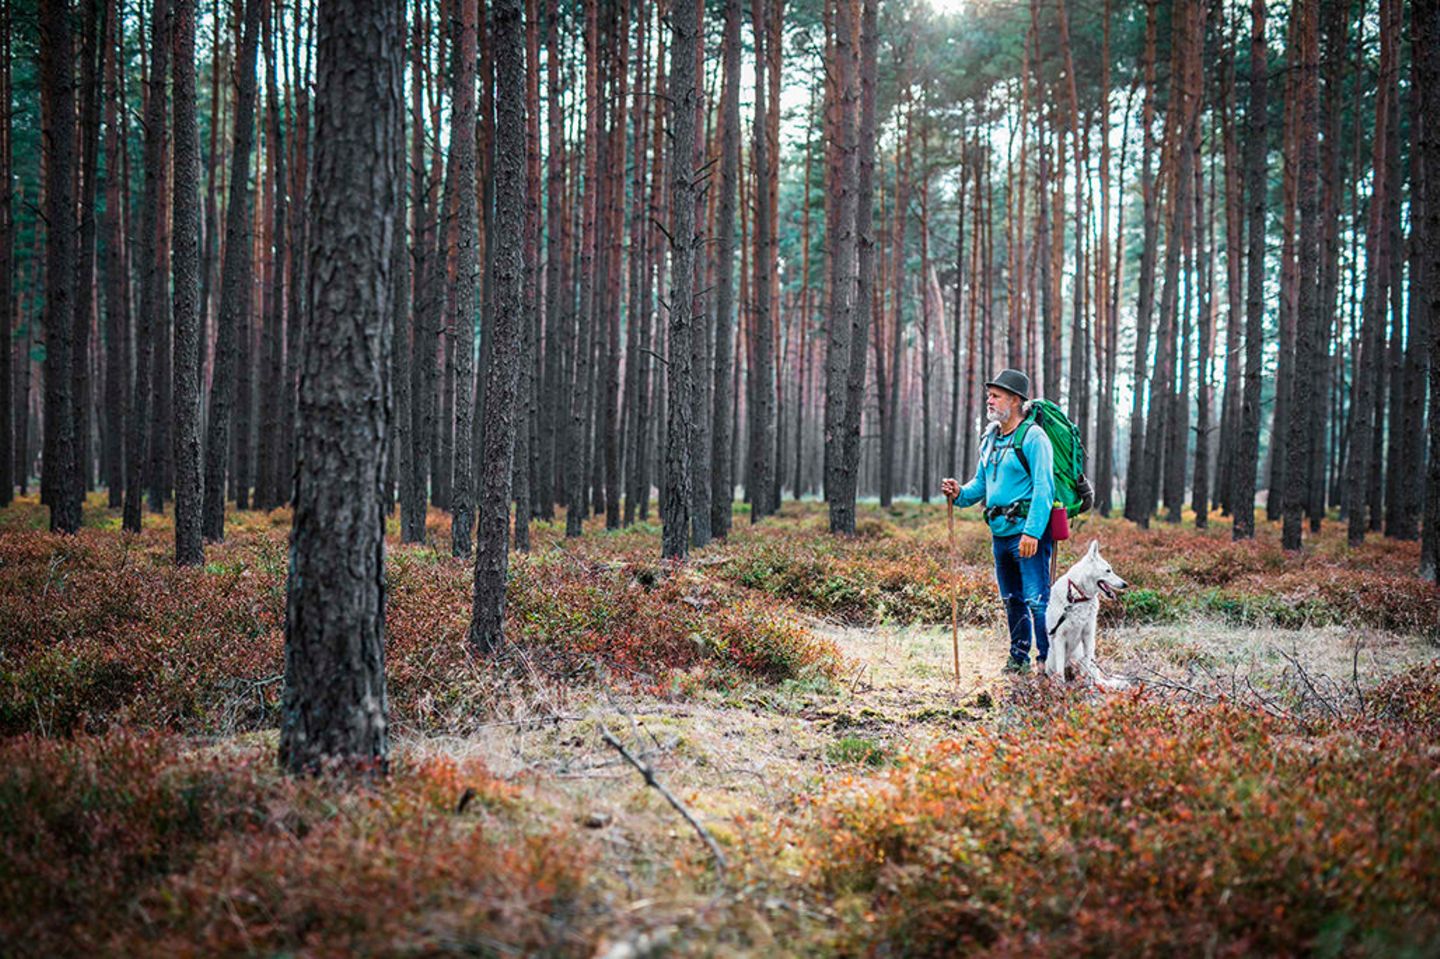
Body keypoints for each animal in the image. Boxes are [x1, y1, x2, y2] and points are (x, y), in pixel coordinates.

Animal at [1048, 541, 1123, 682]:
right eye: (1108, 570)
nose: (1125, 584)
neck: (1077, 597)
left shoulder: (1088, 635)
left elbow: (1086, 665)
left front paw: (1084, 683)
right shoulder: (1059, 637)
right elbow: (1060, 670)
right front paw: (1060, 685)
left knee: (1095, 675)